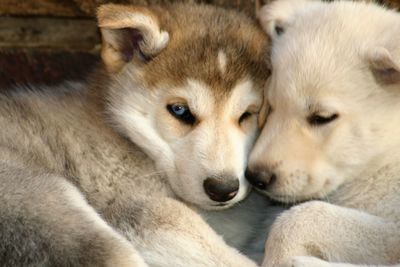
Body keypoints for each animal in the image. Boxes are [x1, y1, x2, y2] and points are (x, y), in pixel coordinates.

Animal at [247, 0, 400, 267]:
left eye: (322, 117)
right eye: (271, 106)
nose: (256, 177)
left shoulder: (392, 231)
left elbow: (300, 218)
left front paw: (281, 258)